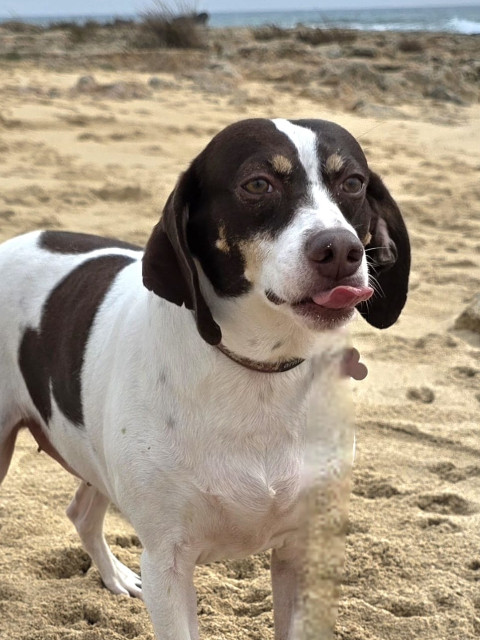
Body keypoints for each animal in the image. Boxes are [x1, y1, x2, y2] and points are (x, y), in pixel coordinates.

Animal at [0, 118, 410, 639]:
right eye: (257, 184)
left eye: (353, 182)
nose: (340, 249)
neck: (257, 370)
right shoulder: (168, 565)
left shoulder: (299, 552)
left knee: (82, 513)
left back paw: (115, 577)